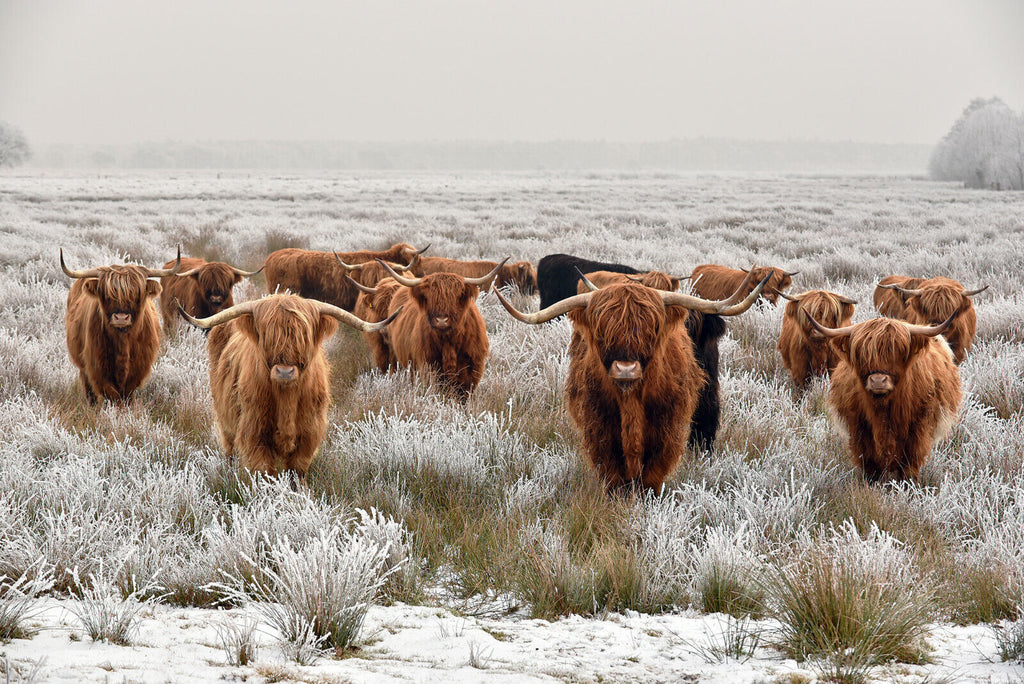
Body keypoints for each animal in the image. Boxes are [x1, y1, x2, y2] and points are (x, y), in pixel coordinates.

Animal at [61, 247, 181, 403]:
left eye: (137, 294)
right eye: (107, 294)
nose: (121, 318)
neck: (123, 341)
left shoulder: (138, 370)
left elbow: (126, 396)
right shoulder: (97, 368)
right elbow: (112, 395)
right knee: (90, 391)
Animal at [178, 294, 399, 478]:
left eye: (303, 336)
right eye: (267, 335)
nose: (285, 371)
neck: (286, 399)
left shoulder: (309, 432)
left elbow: (297, 471)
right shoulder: (254, 431)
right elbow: (264, 472)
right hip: (225, 420)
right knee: (229, 448)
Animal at [377, 258, 506, 400]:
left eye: (457, 297)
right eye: (429, 297)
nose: (441, 320)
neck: (449, 343)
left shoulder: (471, 372)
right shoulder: (429, 367)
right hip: (395, 357)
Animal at [493, 275, 769, 492]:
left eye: (652, 330)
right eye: (602, 332)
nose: (626, 369)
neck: (631, 402)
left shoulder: (666, 429)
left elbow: (652, 475)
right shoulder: (599, 428)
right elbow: (614, 475)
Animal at [807, 313, 962, 482]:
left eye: (899, 352)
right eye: (862, 354)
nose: (877, 380)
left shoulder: (919, 428)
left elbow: (910, 463)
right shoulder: (859, 428)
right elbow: (870, 464)